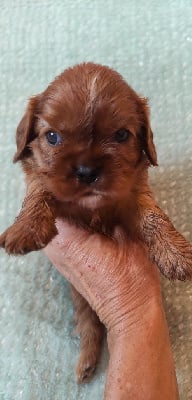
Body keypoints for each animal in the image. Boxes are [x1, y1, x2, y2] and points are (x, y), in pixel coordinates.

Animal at [0, 61, 192, 382]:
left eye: (121, 135)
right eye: (52, 137)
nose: (87, 171)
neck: (93, 208)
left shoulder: (132, 195)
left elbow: (152, 215)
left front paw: (175, 253)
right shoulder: (48, 185)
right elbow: (40, 190)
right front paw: (26, 228)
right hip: (78, 294)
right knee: (88, 322)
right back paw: (87, 362)